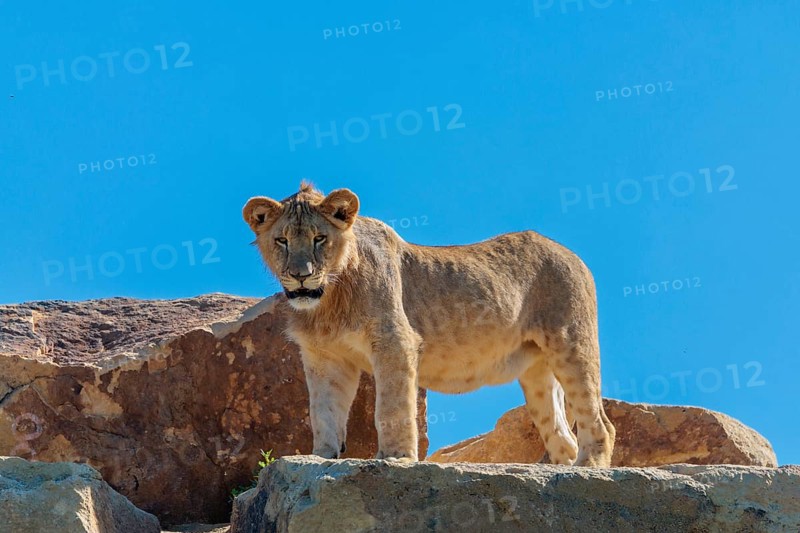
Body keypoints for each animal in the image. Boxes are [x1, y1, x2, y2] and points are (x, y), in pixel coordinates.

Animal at [243, 183, 615, 466]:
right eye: (282, 241)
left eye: (319, 238)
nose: (300, 276)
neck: (327, 301)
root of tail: (572, 255)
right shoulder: (325, 357)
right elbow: (323, 411)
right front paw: (320, 457)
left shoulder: (395, 340)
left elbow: (391, 407)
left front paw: (395, 458)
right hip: (537, 371)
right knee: (562, 434)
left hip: (572, 344)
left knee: (600, 423)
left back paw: (587, 470)